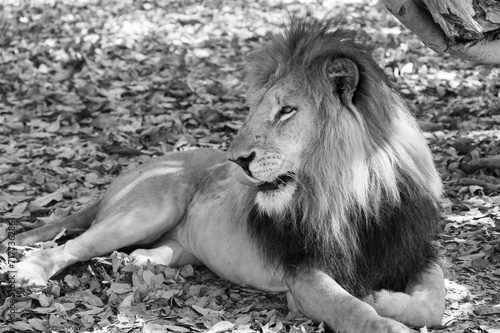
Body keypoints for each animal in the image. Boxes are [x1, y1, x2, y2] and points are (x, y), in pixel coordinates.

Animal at [2, 17, 446, 332]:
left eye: (287, 110)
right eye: (255, 108)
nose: (236, 160)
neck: (354, 192)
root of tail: (132, 170)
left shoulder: (410, 250)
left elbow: (434, 299)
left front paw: (382, 297)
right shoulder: (302, 269)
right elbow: (351, 310)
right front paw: (376, 309)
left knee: (153, 250)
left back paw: (138, 263)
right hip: (147, 209)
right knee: (68, 247)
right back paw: (30, 271)